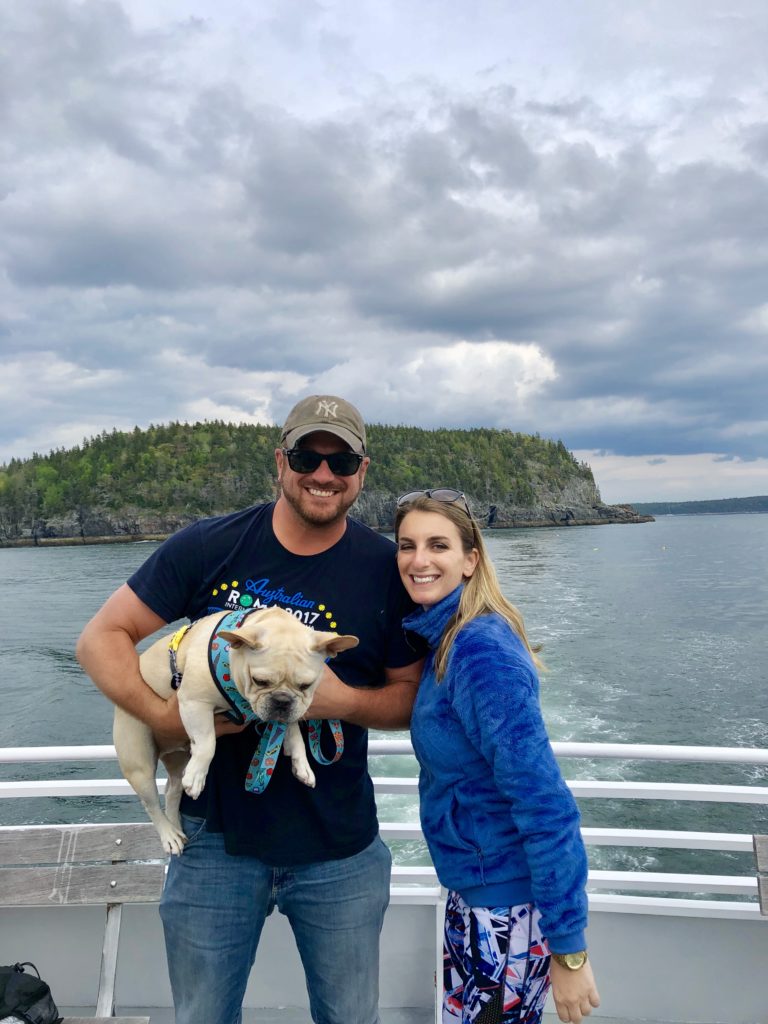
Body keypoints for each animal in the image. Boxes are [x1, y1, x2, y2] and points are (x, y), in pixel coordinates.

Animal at [112, 606, 360, 856]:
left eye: (306, 685)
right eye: (260, 680)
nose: (282, 700)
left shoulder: (291, 711)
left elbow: (294, 732)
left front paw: (302, 764)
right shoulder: (194, 701)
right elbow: (207, 743)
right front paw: (198, 777)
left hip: (178, 759)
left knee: (172, 789)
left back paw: (176, 827)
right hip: (138, 760)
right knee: (151, 802)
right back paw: (168, 834)